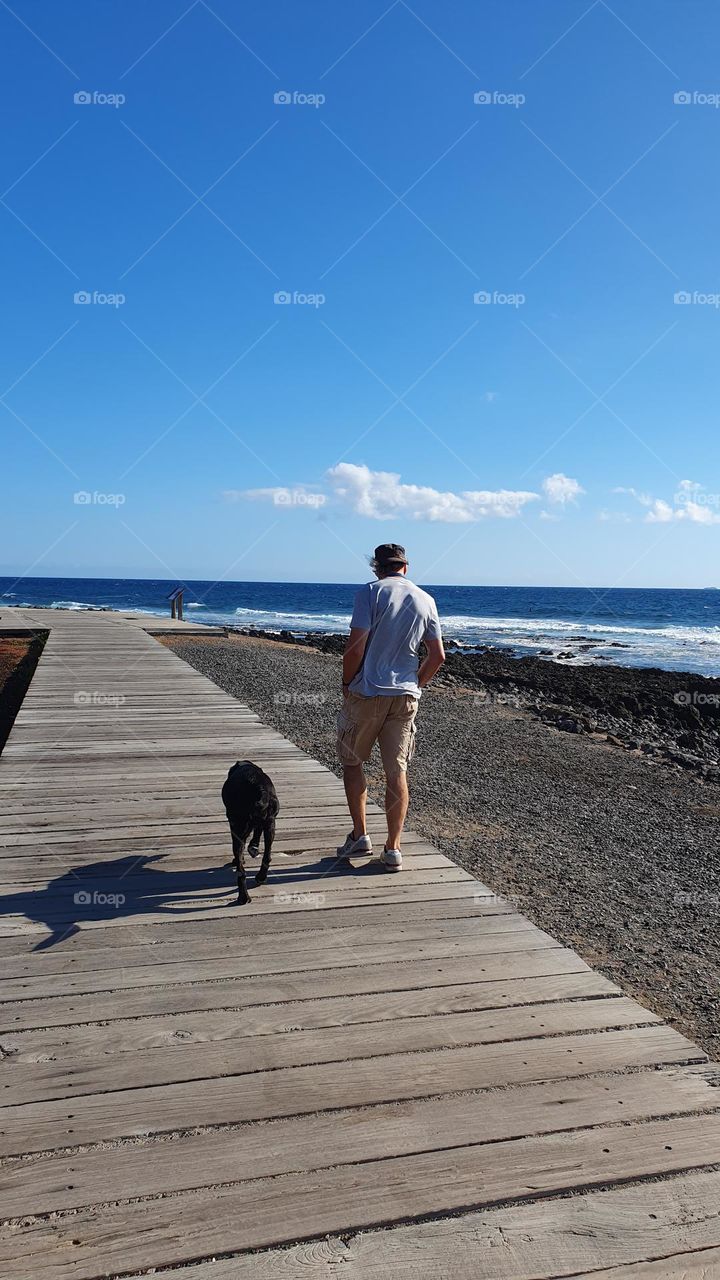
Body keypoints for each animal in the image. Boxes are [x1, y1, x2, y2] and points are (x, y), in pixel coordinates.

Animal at [220, 757, 275, 911]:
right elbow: (257, 832)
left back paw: (243, 897)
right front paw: (254, 846)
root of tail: (259, 789)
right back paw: (261, 877)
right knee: (267, 855)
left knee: (241, 870)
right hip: (270, 824)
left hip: (238, 828)